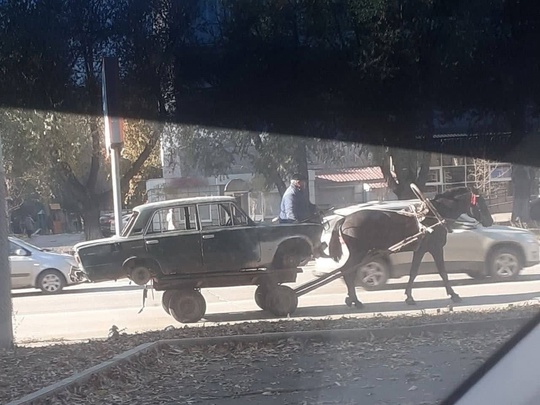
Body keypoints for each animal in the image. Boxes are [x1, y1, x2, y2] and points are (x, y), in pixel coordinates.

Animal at [326, 188, 496, 308]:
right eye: (481, 203)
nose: (490, 221)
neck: (434, 215)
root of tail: (345, 219)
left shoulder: (420, 250)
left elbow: (413, 272)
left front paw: (409, 296)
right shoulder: (435, 248)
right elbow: (442, 272)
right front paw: (453, 294)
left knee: (348, 272)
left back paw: (352, 299)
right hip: (359, 253)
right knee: (348, 272)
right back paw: (355, 301)